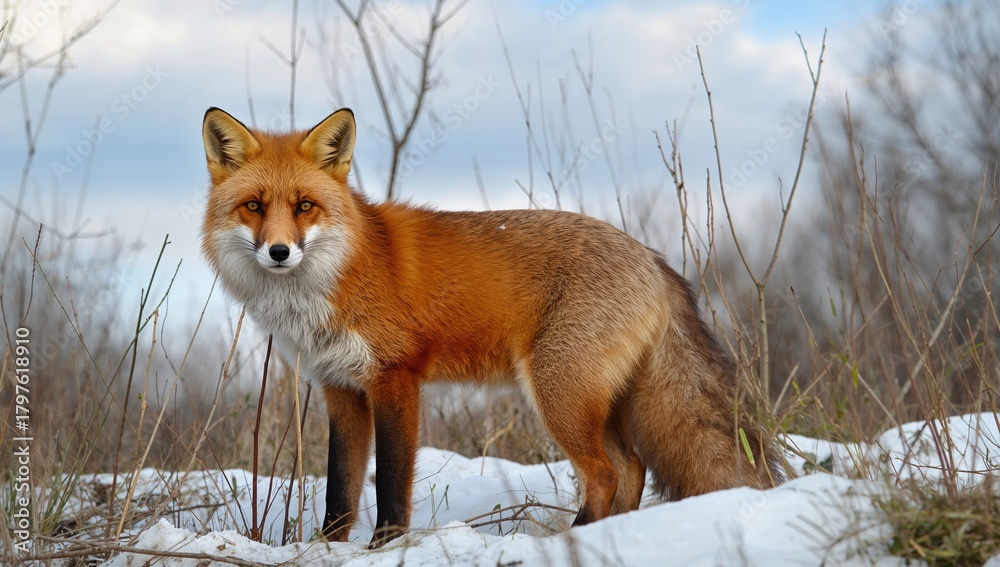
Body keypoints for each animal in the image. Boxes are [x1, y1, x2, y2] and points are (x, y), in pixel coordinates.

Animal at [200, 107, 784, 548]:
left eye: (304, 206)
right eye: (253, 206)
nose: (279, 251)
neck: (338, 275)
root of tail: (655, 259)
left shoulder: (394, 378)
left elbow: (390, 481)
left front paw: (384, 548)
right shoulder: (340, 387)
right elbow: (340, 488)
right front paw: (327, 548)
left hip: (557, 391)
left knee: (606, 472)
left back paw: (568, 539)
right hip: (594, 400)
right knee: (632, 468)